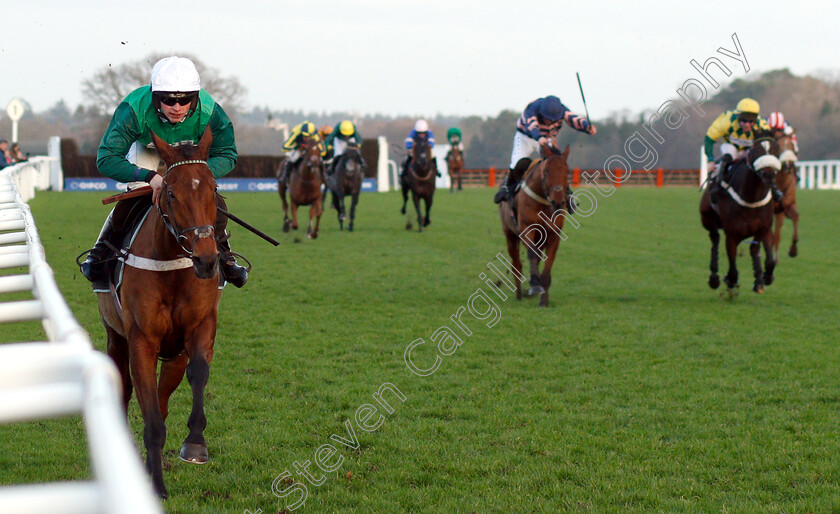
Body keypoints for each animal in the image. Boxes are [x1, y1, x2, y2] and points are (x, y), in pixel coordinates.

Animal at [97, 127, 223, 496]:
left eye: (212, 188)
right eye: (170, 193)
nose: (207, 259)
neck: (171, 267)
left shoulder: (200, 326)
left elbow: (198, 374)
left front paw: (195, 444)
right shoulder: (141, 339)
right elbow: (149, 414)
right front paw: (156, 485)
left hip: (174, 353)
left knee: (165, 395)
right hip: (116, 337)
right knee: (126, 390)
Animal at [498, 142, 572, 306]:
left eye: (567, 170)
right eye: (547, 170)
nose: (558, 202)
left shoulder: (554, 234)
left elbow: (548, 262)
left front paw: (544, 300)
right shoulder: (526, 229)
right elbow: (531, 253)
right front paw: (536, 286)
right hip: (509, 234)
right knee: (517, 264)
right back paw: (519, 294)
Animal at [700, 134, 784, 294]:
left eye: (776, 150)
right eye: (756, 151)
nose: (769, 175)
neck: (751, 198)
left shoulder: (765, 229)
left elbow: (770, 261)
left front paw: (766, 277)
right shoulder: (732, 235)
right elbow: (732, 267)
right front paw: (730, 279)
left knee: (754, 248)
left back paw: (758, 281)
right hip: (707, 220)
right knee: (715, 239)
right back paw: (714, 277)